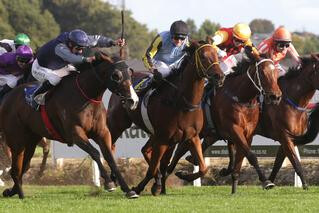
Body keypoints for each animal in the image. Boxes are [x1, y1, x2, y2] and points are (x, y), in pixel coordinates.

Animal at [0, 52, 140, 198]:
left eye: (130, 73)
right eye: (116, 75)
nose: (133, 101)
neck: (86, 95)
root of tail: (8, 97)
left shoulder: (102, 133)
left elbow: (110, 158)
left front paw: (128, 190)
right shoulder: (75, 133)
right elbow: (95, 153)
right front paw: (108, 182)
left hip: (32, 140)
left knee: (24, 166)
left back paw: (12, 191)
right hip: (16, 140)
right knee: (15, 169)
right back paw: (20, 194)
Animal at [107, 40, 225, 196]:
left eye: (217, 55)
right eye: (204, 56)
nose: (220, 76)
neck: (183, 103)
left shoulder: (191, 137)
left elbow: (203, 168)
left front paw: (182, 175)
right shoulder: (163, 139)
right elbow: (152, 169)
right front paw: (141, 188)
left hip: (156, 135)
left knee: (145, 150)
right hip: (117, 124)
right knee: (110, 145)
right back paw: (113, 179)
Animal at [166, 52, 282, 193]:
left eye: (276, 72)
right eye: (262, 72)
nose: (276, 96)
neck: (242, 99)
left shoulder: (248, 134)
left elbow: (239, 160)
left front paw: (233, 186)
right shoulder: (234, 129)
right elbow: (251, 156)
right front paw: (266, 181)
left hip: (210, 134)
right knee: (178, 154)